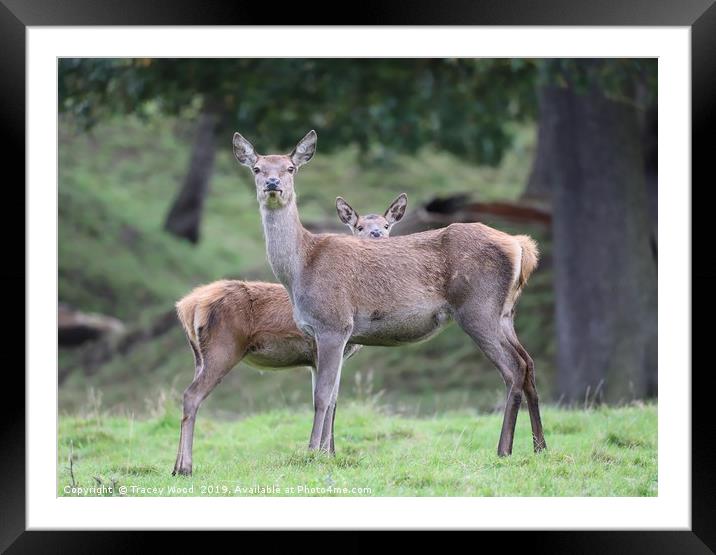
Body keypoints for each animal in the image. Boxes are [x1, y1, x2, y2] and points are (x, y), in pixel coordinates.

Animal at [172, 193, 408, 476]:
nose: (376, 234)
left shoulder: (322, 357)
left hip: (199, 355)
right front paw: (323, 453)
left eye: (386, 225)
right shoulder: (326, 346)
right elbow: (328, 400)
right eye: (359, 226)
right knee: (191, 395)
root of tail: (188, 305)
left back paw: (175, 466)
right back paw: (185, 468)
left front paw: (330, 453)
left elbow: (333, 400)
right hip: (223, 347)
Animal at [235, 131, 548, 460]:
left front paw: (313, 453)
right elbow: (333, 396)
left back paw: (504, 449)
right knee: (529, 363)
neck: (300, 270)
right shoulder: (333, 334)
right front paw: (327, 452)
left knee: (513, 368)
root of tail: (520, 245)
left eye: (290, 168)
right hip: (505, 313)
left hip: (478, 309)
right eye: (257, 168)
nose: (273, 184)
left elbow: (322, 396)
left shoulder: (333, 324)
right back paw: (539, 446)